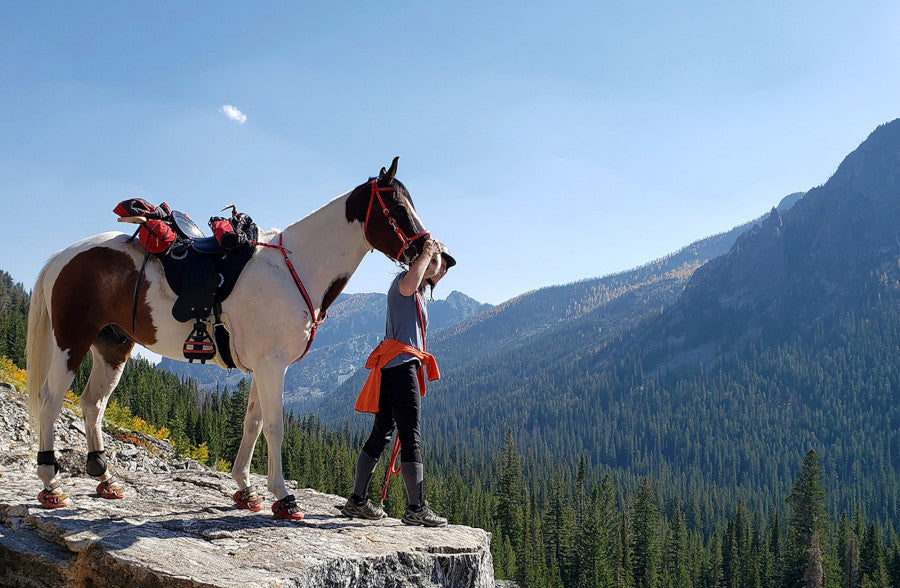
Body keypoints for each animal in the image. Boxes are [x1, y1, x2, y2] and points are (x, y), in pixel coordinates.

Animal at [25, 157, 432, 520]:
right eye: (396, 206)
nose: (431, 253)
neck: (294, 268)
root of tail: (64, 255)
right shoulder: (272, 366)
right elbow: (274, 428)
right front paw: (283, 497)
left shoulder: (261, 367)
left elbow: (252, 425)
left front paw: (246, 490)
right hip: (72, 340)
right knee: (51, 398)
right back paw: (50, 485)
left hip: (113, 345)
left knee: (93, 403)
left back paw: (106, 480)